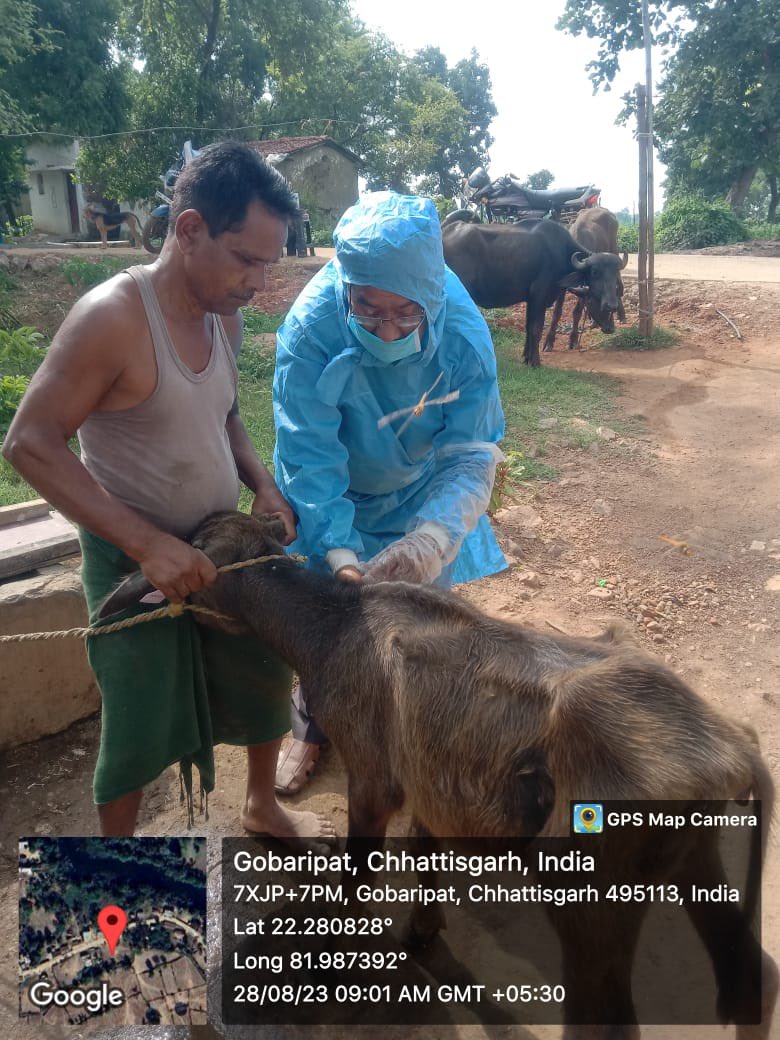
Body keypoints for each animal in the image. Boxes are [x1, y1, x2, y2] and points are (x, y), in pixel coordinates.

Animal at [443, 215, 628, 366]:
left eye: (614, 278)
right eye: (595, 272)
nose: (611, 306)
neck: (561, 251)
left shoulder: (530, 299)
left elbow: (528, 327)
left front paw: (526, 357)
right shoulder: (539, 296)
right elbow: (537, 328)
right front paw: (536, 362)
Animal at [544, 205, 632, 353]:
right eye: (594, 272)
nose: (610, 329)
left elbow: (577, 312)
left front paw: (573, 340)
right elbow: (557, 312)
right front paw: (549, 342)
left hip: (614, 249)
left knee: (621, 286)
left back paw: (622, 316)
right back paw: (593, 323)